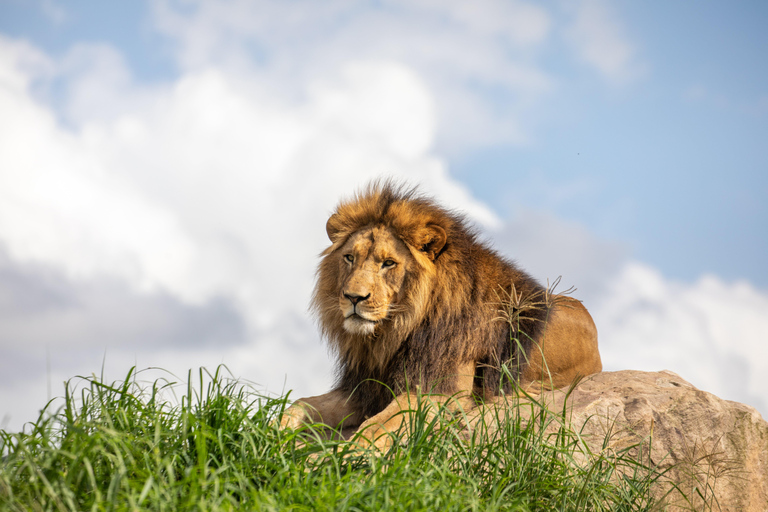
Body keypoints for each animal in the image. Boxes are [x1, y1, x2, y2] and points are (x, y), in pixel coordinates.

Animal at [280, 182, 604, 450]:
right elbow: (300, 405)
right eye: (349, 258)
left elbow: (378, 425)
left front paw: (342, 458)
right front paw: (274, 435)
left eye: (389, 263)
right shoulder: (365, 388)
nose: (353, 298)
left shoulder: (442, 391)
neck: (393, 333)